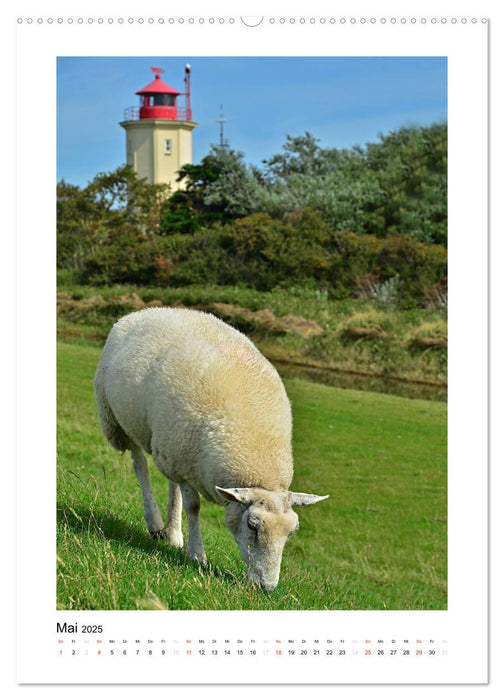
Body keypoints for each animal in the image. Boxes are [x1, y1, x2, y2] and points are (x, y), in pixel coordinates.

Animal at [95, 308, 328, 588]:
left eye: (292, 531)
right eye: (252, 526)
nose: (268, 587)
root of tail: (145, 311)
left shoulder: (184, 455)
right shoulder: (185, 464)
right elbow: (193, 506)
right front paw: (197, 555)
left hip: (170, 441)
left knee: (170, 482)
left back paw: (172, 533)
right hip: (121, 421)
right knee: (140, 465)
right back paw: (155, 521)